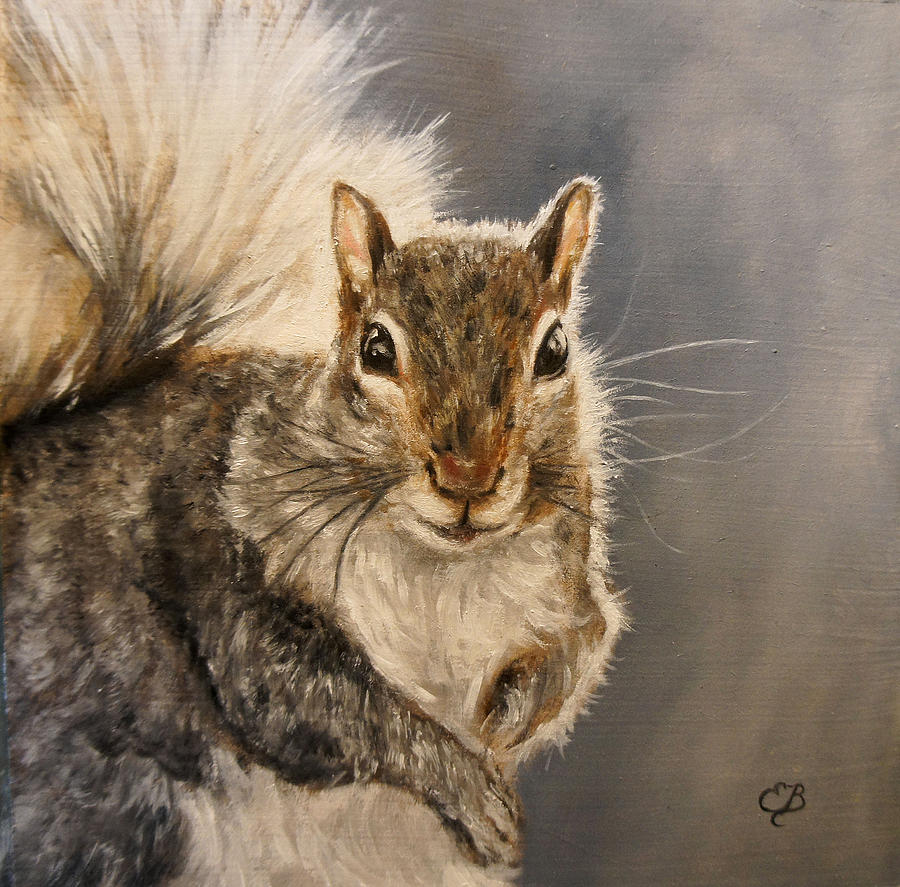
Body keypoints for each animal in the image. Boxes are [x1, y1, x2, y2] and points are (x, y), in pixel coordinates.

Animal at [0, 1, 625, 885]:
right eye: (375, 348)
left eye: (556, 350)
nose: (467, 477)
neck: (446, 570)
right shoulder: (224, 566)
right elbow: (321, 702)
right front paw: (473, 789)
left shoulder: (568, 581)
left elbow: (581, 645)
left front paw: (509, 711)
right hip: (107, 813)